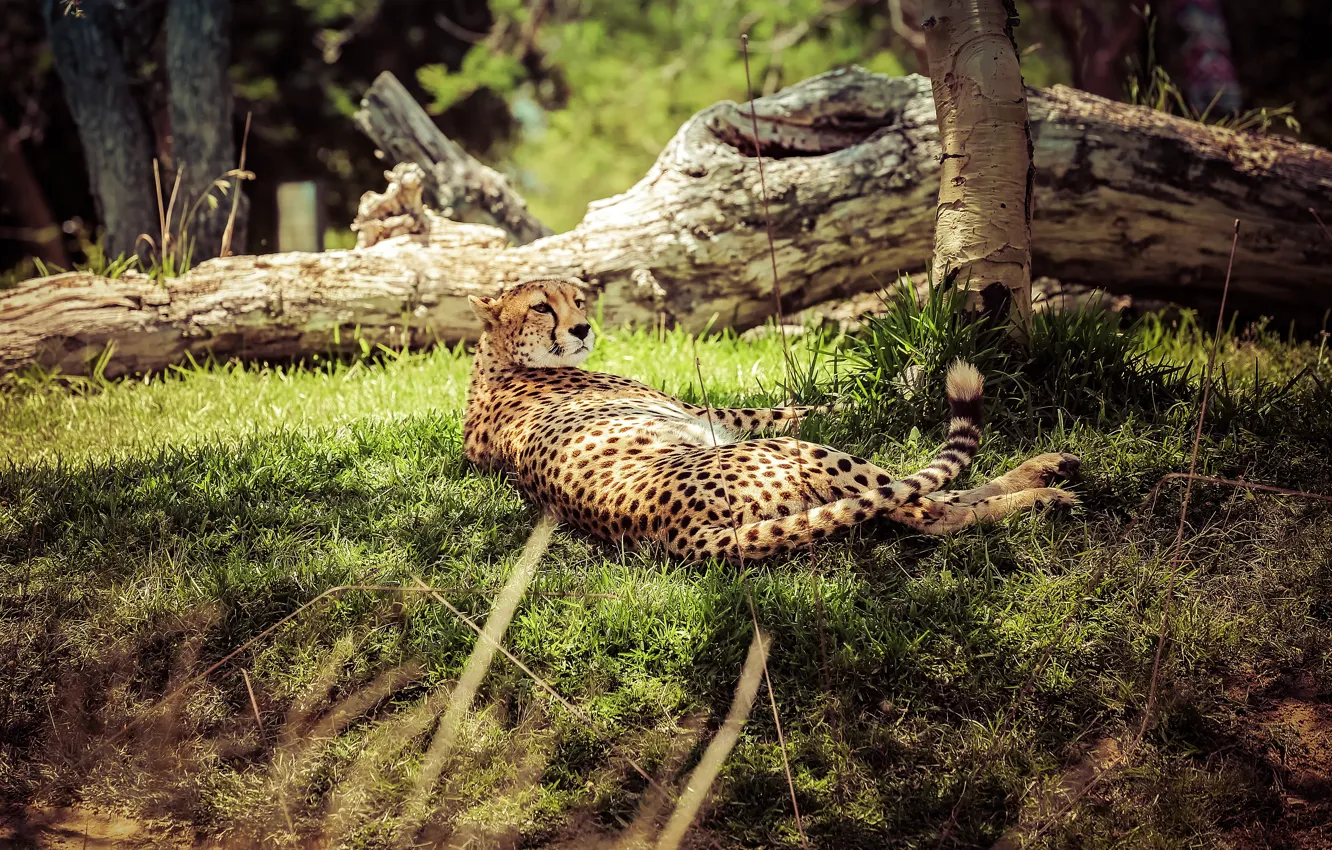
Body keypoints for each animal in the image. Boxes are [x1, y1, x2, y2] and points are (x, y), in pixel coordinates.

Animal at [463, 277, 1080, 564]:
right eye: (541, 306)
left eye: (579, 300)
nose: (583, 328)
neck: (498, 360)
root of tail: (677, 534)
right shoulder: (711, 413)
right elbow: (808, 407)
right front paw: (890, 392)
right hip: (804, 455)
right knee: (929, 507)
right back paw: (1041, 492)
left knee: (920, 500)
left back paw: (1046, 472)